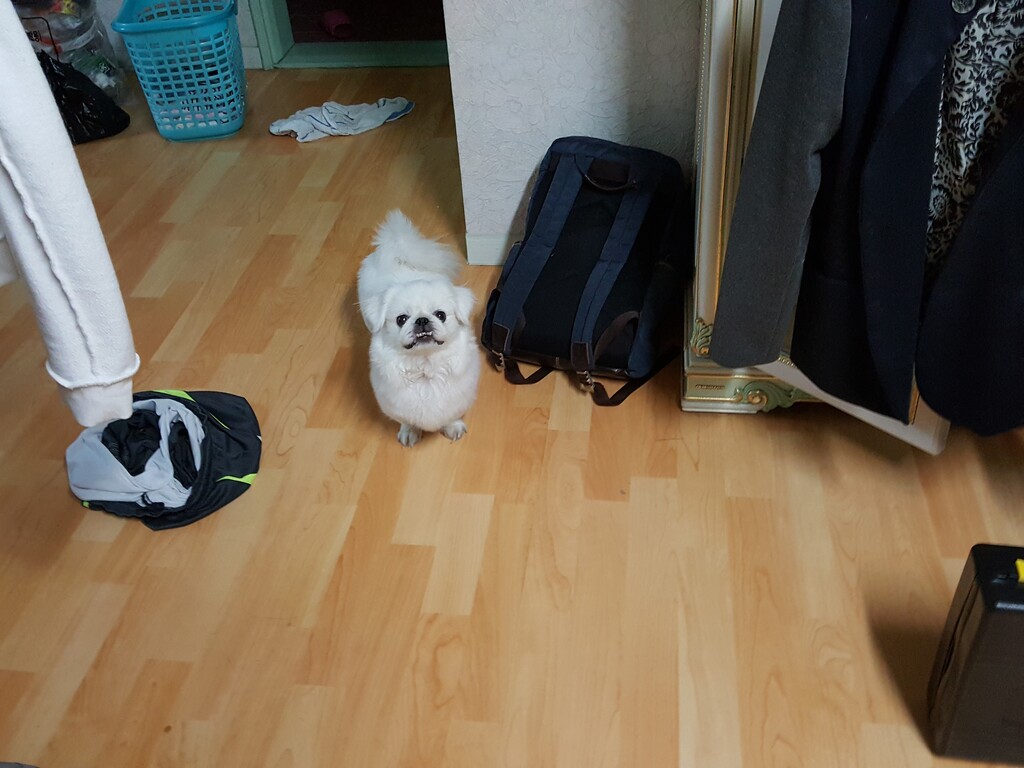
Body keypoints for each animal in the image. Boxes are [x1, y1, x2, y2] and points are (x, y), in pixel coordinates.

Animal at [357, 210, 480, 447]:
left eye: (440, 315)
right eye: (401, 319)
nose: (422, 320)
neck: (425, 368)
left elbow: (451, 415)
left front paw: (452, 428)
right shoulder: (395, 405)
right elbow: (407, 420)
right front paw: (410, 432)